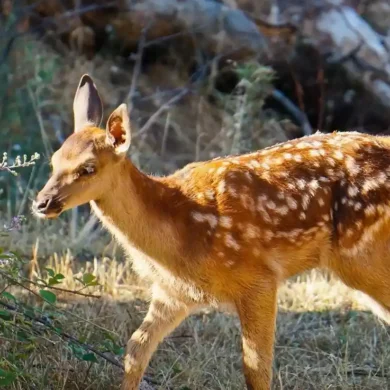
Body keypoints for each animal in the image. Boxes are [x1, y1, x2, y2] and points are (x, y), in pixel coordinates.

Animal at [32, 74, 390, 390]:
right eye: (54, 159)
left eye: (88, 168)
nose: (41, 203)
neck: (180, 232)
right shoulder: (173, 293)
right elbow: (135, 350)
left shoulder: (260, 278)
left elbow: (256, 369)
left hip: (360, 256)